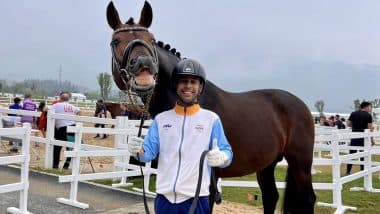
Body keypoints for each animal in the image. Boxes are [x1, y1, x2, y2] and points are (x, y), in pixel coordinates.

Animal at [106, 1, 314, 212]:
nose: (144, 66)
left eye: (151, 39)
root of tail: (301, 105)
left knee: (308, 199)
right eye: (115, 41)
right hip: (267, 164)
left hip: (300, 164)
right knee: (270, 196)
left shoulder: (209, 185)